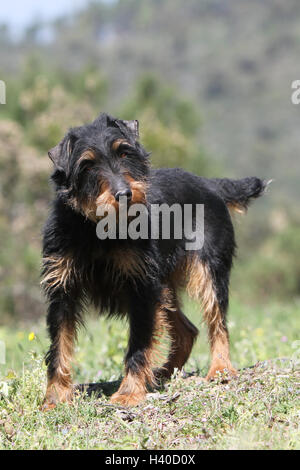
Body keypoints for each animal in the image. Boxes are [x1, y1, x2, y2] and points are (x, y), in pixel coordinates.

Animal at [40, 113, 268, 408]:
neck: (98, 229)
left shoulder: (141, 288)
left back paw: (220, 369)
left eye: (124, 153)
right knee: (187, 330)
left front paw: (129, 392)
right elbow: (60, 345)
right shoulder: (63, 289)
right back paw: (162, 373)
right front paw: (55, 396)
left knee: (217, 322)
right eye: (87, 165)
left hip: (208, 272)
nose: (124, 194)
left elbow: (139, 343)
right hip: (164, 287)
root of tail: (209, 184)